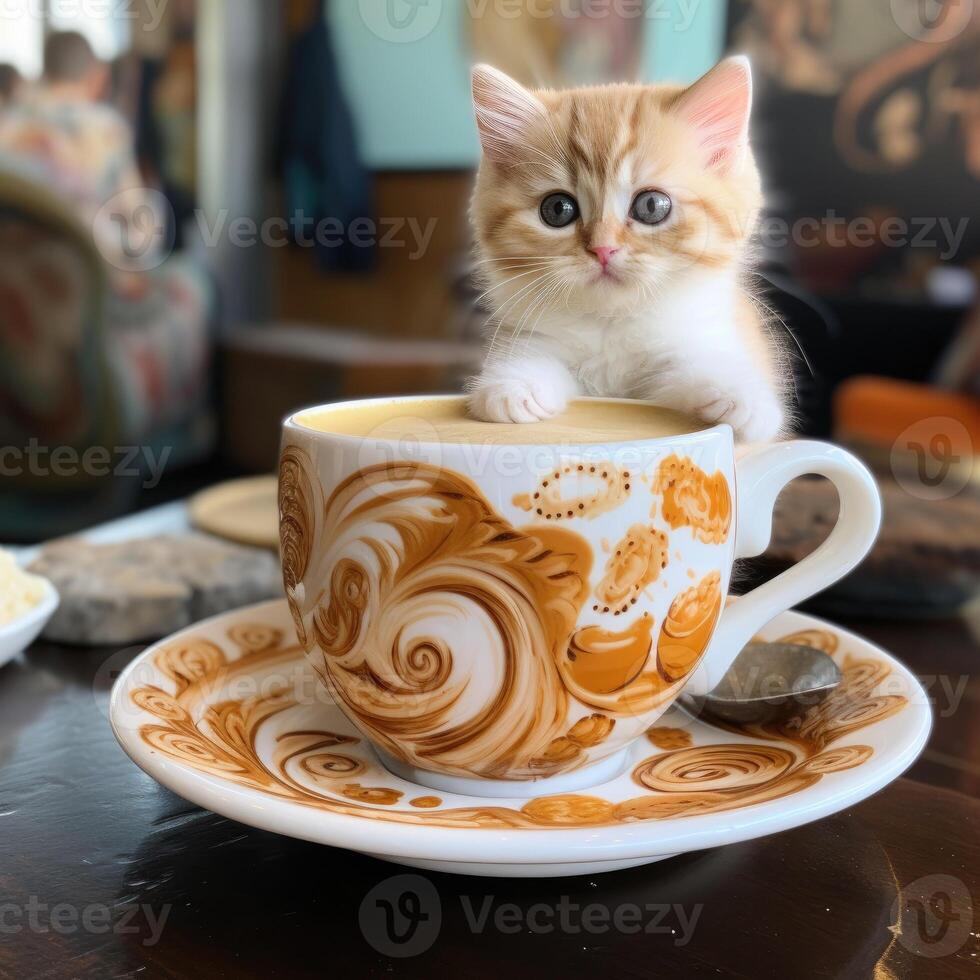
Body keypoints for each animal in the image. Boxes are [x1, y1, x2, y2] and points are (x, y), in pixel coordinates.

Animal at [468, 59, 788, 442]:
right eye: (557, 209)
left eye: (652, 206)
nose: (603, 249)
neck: (613, 322)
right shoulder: (531, 333)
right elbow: (533, 359)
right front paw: (514, 385)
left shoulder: (704, 333)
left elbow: (695, 366)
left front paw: (740, 396)